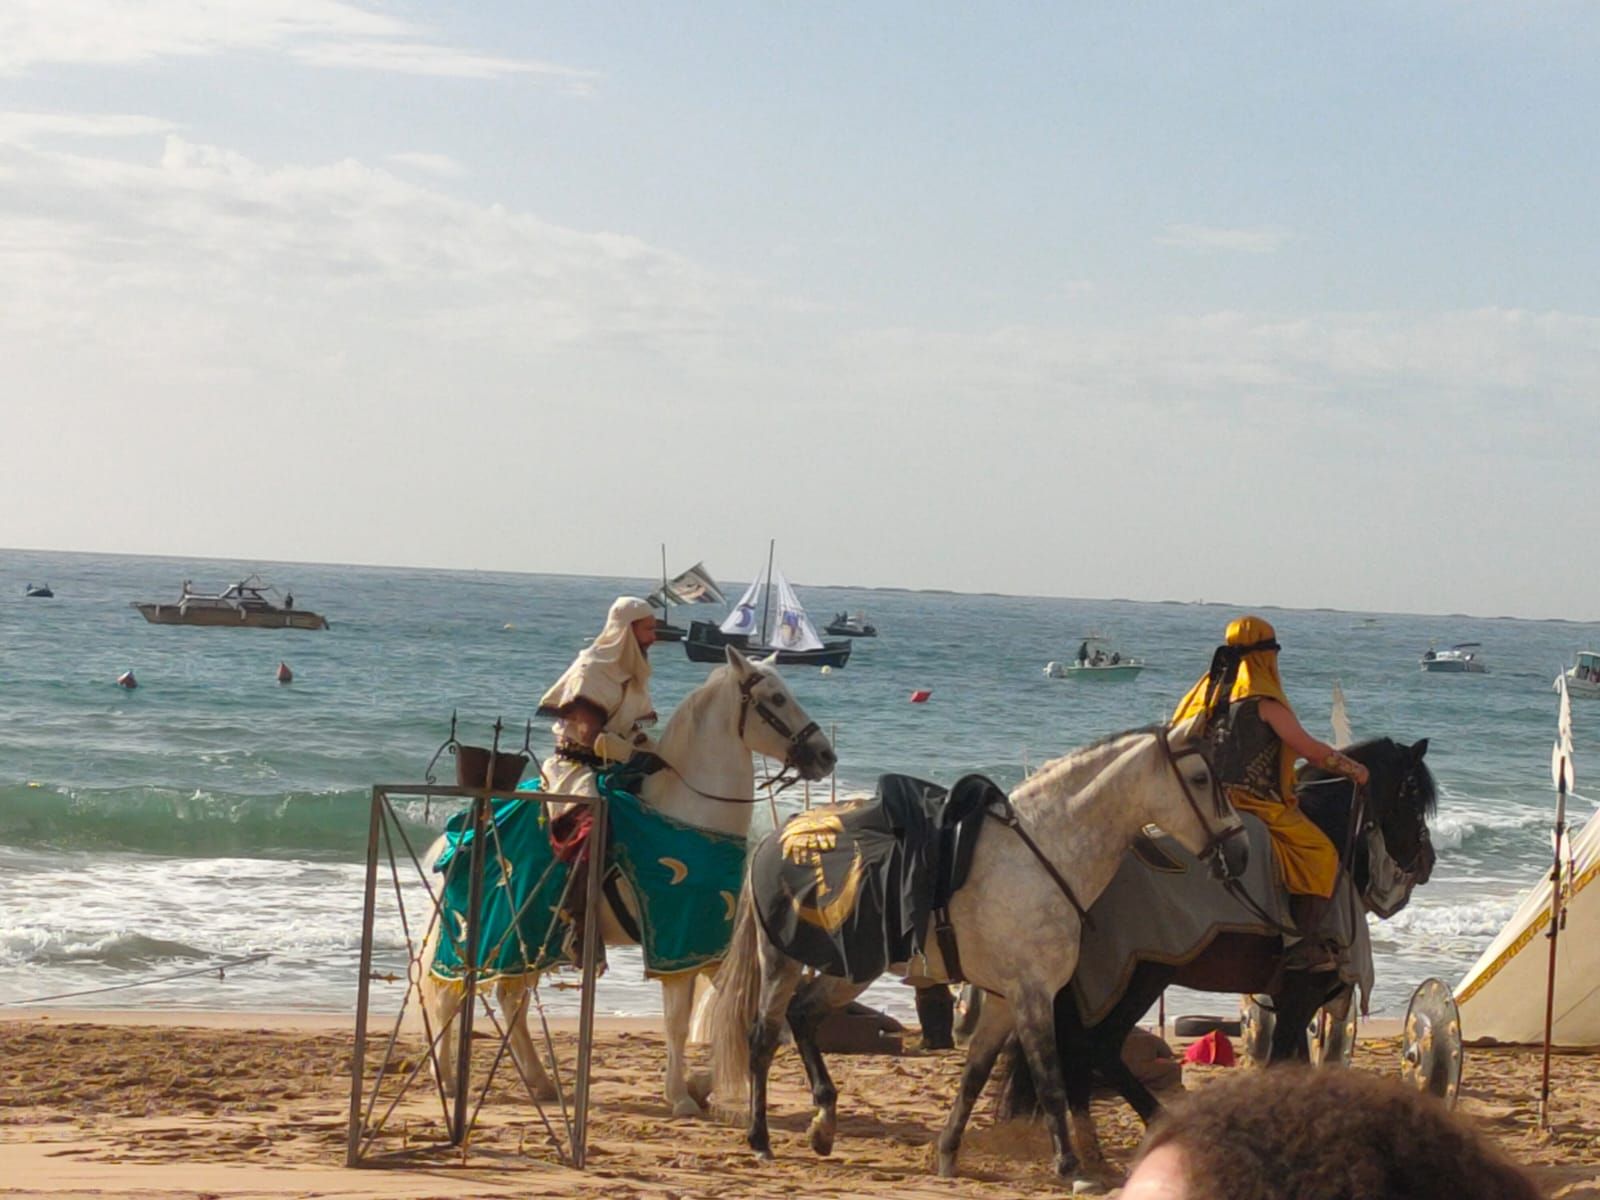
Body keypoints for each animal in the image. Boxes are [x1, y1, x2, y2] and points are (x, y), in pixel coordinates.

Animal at [419, 649, 838, 1120]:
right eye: (777, 698)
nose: (825, 755)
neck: (692, 812)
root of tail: (455, 835)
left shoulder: (711, 947)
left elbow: (770, 1027)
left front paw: (698, 1087)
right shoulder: (678, 943)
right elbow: (677, 1022)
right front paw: (680, 1096)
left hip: (526, 940)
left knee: (509, 1002)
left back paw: (539, 1082)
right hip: (488, 932)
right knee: (450, 996)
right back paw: (447, 1076)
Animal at [713, 720, 1248, 1190]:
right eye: (1200, 779)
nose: (1240, 852)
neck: (1043, 856)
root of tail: (774, 839)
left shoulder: (1004, 1001)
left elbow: (974, 1075)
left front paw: (948, 1154)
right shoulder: (1032, 995)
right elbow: (1049, 1079)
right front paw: (1072, 1168)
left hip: (851, 968)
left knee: (803, 1016)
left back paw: (823, 1124)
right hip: (782, 958)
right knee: (763, 1037)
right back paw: (760, 1139)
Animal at [992, 732, 1433, 1145]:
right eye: (1414, 796)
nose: (1427, 860)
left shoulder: (1292, 999)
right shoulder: (1300, 996)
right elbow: (1283, 1059)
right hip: (1138, 976)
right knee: (1098, 1046)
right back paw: (1154, 1122)